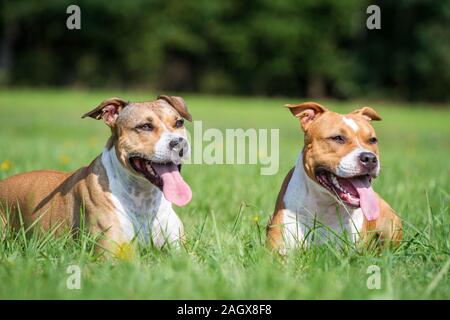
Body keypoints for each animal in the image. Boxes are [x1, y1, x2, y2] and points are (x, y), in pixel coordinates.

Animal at [0, 95, 192, 255]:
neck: (143, 197)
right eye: (145, 126)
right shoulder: (111, 254)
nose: (179, 143)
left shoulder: (182, 253)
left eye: (179, 122)